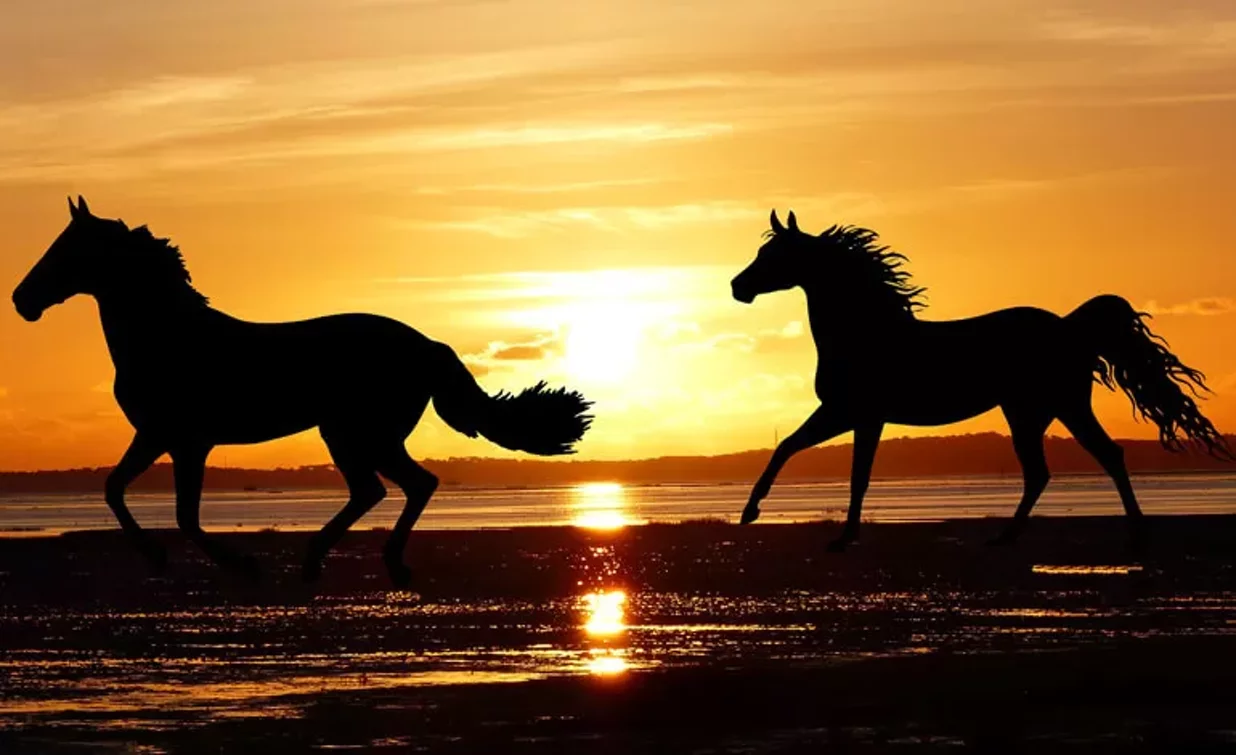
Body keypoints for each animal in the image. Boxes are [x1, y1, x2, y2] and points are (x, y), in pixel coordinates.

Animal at [12, 197, 593, 586]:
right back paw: (347, 561)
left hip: (357, 433)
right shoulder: (160, 438)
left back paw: (345, 561)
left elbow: (181, 515)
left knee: (395, 487)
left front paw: (238, 564)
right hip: (361, 435)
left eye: (66, 250)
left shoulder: (184, 441)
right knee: (395, 487)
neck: (170, 337)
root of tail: (426, 344)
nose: (21, 300)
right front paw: (162, 557)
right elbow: (116, 489)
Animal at [731, 210, 1229, 551]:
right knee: (1066, 465)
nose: (738, 287)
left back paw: (1122, 533)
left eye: (773, 254)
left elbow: (855, 475)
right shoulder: (842, 413)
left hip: (1050, 408)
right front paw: (751, 512)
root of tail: (1070, 327)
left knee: (1083, 461)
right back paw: (1023, 535)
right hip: (1042, 411)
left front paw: (840, 537)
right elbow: (787, 447)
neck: (866, 332)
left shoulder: (860, 415)